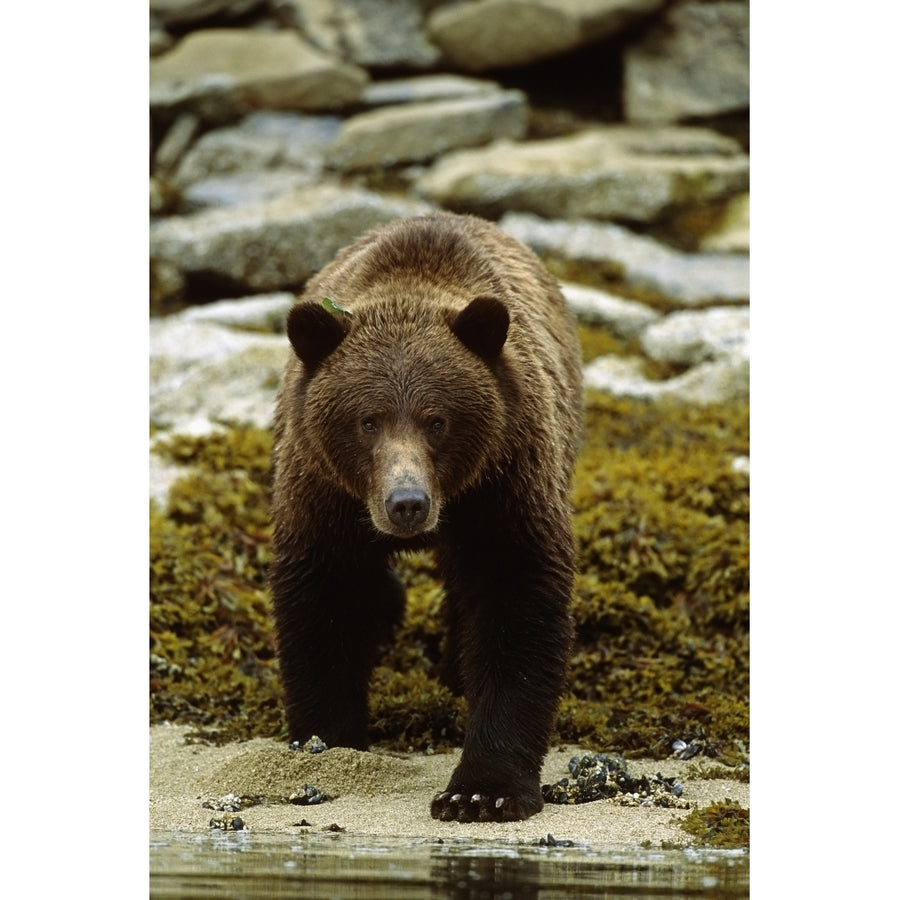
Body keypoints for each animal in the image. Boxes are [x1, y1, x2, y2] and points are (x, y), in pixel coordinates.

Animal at [268, 213, 584, 824]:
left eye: (437, 420)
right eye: (367, 420)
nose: (407, 503)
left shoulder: (503, 486)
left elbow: (516, 603)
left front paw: (481, 791)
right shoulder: (325, 495)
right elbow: (325, 604)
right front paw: (324, 743)